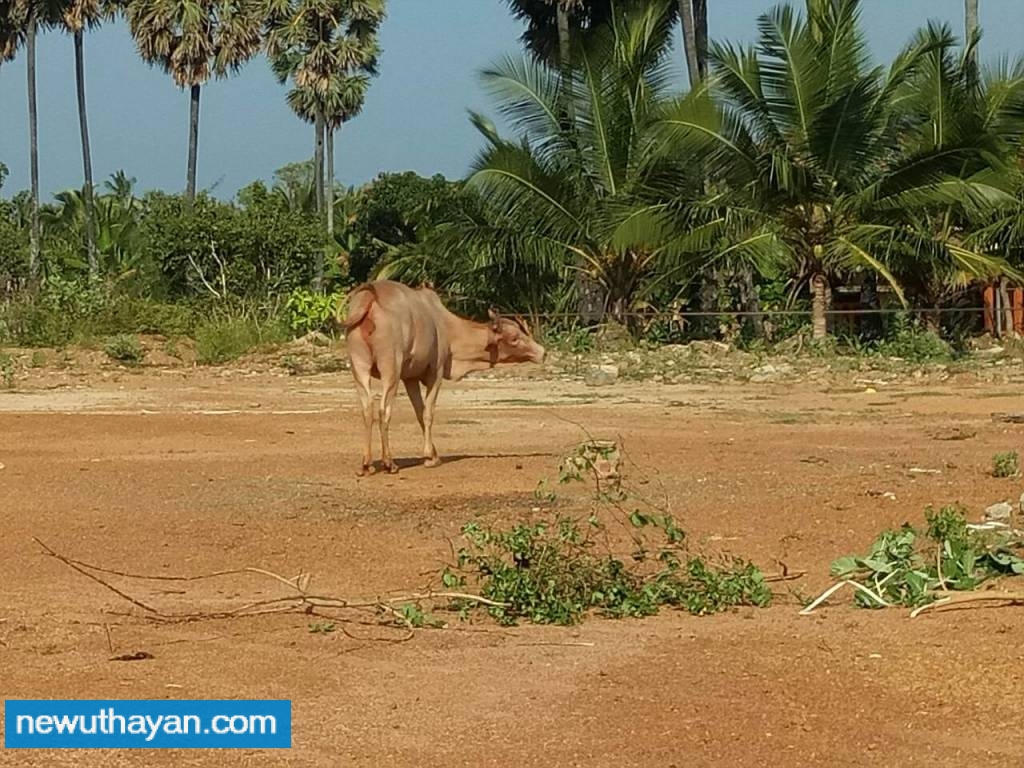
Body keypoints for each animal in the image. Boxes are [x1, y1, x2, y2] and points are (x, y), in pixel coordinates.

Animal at [341, 280, 546, 476]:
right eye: (514, 338)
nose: (542, 352)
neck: (447, 327)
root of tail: (369, 299)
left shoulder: (410, 377)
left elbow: (419, 412)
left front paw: (434, 454)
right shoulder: (435, 371)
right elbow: (428, 413)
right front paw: (429, 457)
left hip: (359, 365)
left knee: (367, 409)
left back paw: (366, 465)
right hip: (390, 366)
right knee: (384, 409)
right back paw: (389, 463)